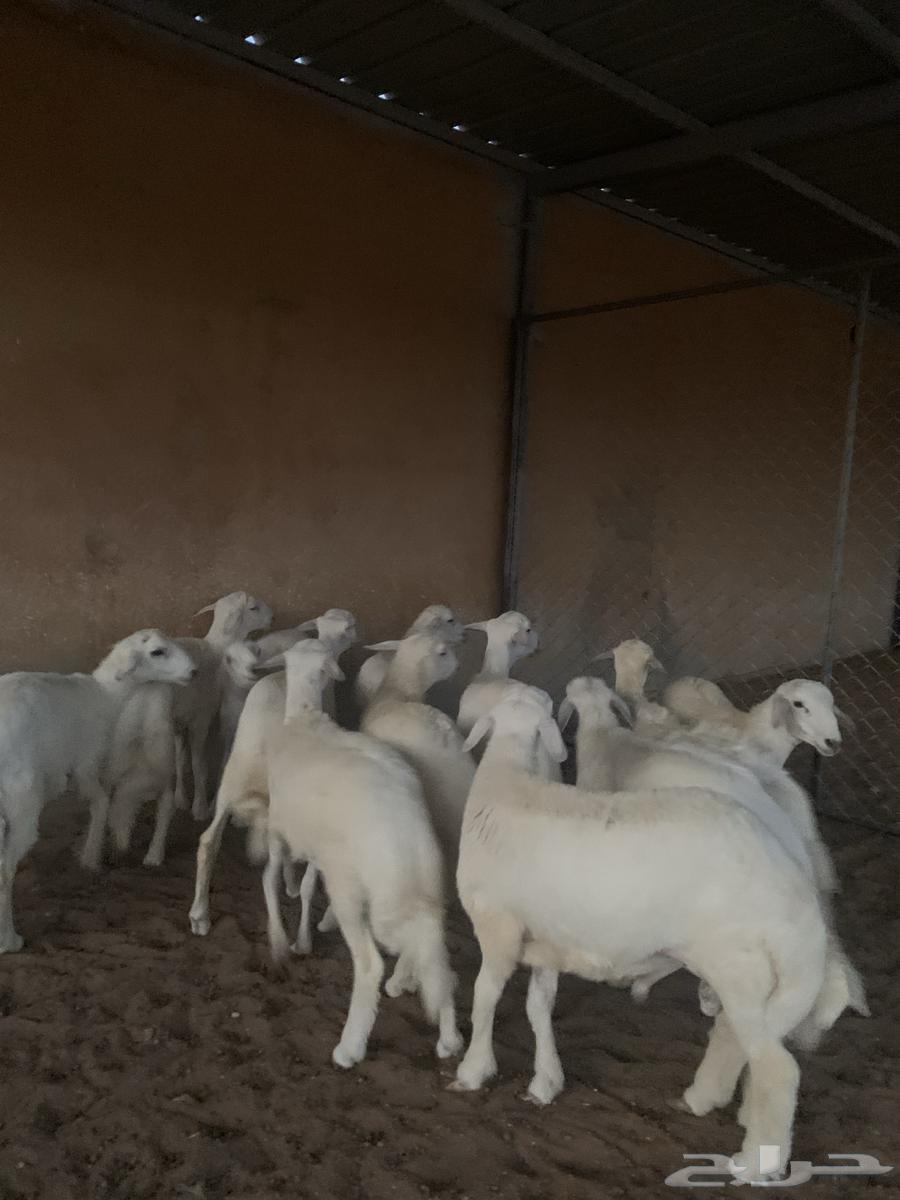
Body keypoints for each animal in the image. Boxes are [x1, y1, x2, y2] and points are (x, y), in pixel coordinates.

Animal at [0, 631, 195, 952]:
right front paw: (91, 856)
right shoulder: (86, 763)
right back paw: (10, 940)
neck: (105, 695)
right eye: (157, 652)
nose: (193, 672)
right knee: (4, 870)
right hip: (21, 802)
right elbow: (102, 802)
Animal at [174, 592, 273, 820]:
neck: (218, 648)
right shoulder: (202, 718)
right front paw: (200, 807)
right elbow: (199, 764)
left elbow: (179, 760)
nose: (272, 617)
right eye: (253, 608)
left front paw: (180, 799)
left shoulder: (181, 723)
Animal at [262, 639, 462, 1067]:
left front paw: (281, 942)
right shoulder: (319, 848)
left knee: (370, 964)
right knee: (435, 952)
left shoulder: (279, 829)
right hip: (423, 883)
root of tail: (404, 830)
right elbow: (306, 885)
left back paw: (350, 1046)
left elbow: (270, 879)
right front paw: (303, 937)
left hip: (354, 890)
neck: (304, 718)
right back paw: (449, 1037)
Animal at [452, 685, 842, 1181]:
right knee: (741, 1041)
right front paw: (546, 1081)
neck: (508, 780)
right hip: (757, 977)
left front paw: (473, 1070)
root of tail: (790, 881)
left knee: (777, 1067)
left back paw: (757, 1160)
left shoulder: (496, 927)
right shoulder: (547, 941)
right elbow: (538, 1007)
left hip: (741, 969)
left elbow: (484, 998)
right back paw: (711, 1102)